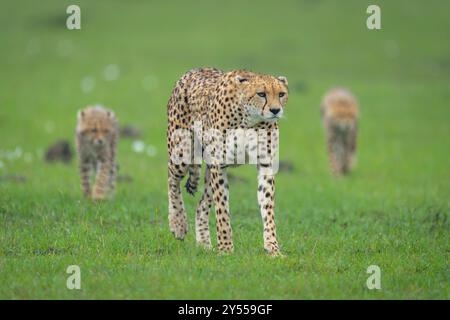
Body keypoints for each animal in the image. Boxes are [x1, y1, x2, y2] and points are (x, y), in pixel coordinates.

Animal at [166, 67, 288, 255]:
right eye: (261, 94)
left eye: (281, 94)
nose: (275, 110)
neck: (249, 120)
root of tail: (194, 70)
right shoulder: (219, 165)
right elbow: (222, 210)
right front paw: (225, 249)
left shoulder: (265, 165)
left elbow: (267, 207)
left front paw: (273, 248)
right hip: (182, 153)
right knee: (172, 179)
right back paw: (178, 223)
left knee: (201, 204)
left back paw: (204, 244)